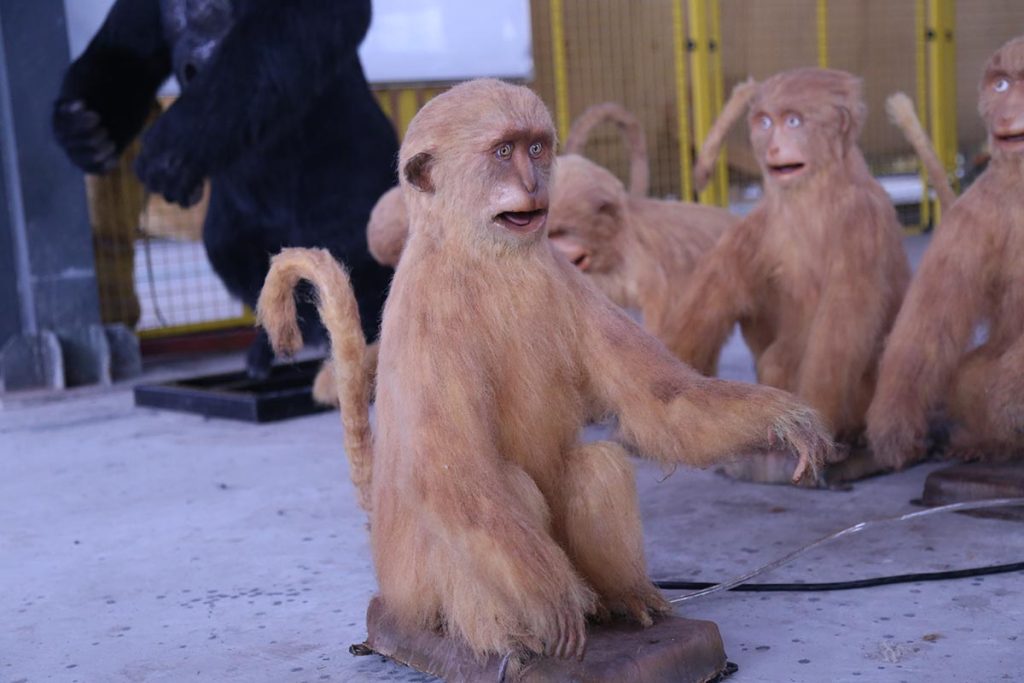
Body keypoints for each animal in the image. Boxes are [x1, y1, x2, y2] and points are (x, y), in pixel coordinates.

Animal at [258, 78, 833, 664]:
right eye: (502, 152)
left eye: (535, 148)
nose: (532, 183)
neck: (486, 259)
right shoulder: (429, 312)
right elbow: (451, 479)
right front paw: (557, 608)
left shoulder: (564, 277)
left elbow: (661, 400)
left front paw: (787, 422)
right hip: (411, 586)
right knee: (492, 489)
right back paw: (516, 639)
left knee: (595, 465)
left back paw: (619, 597)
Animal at [669, 68, 912, 443]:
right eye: (765, 122)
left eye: (794, 121)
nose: (773, 146)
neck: (814, 196)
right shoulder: (762, 222)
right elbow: (719, 290)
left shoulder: (861, 220)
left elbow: (843, 322)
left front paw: (818, 422)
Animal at [867, 36, 1024, 468]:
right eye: (1001, 85)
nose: (1005, 115)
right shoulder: (975, 212)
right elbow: (927, 330)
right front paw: (894, 432)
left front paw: (1011, 395)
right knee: (966, 373)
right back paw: (990, 443)